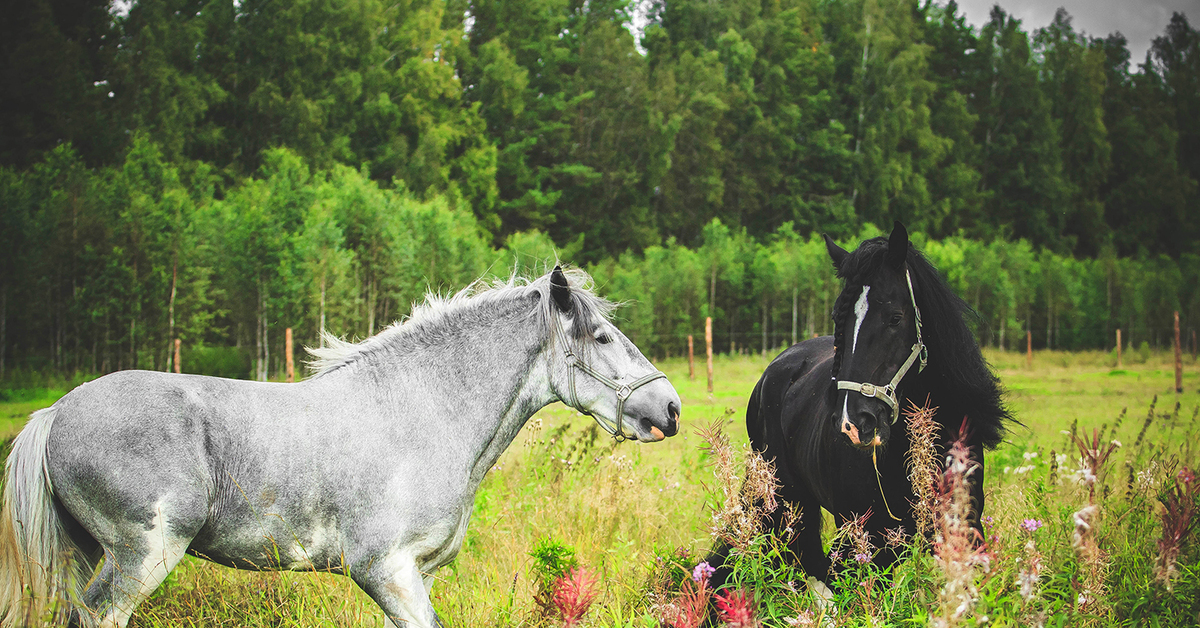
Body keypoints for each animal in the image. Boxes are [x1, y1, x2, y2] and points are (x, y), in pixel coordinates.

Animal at [0, 266, 681, 628]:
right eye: (602, 336)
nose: (669, 408)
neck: (423, 412)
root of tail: (54, 414)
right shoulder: (387, 571)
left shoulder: (406, 578)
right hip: (141, 556)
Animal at [710, 222, 1012, 590]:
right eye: (838, 318)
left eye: (895, 318)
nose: (855, 425)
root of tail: (774, 369)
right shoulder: (867, 539)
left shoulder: (963, 530)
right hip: (787, 502)